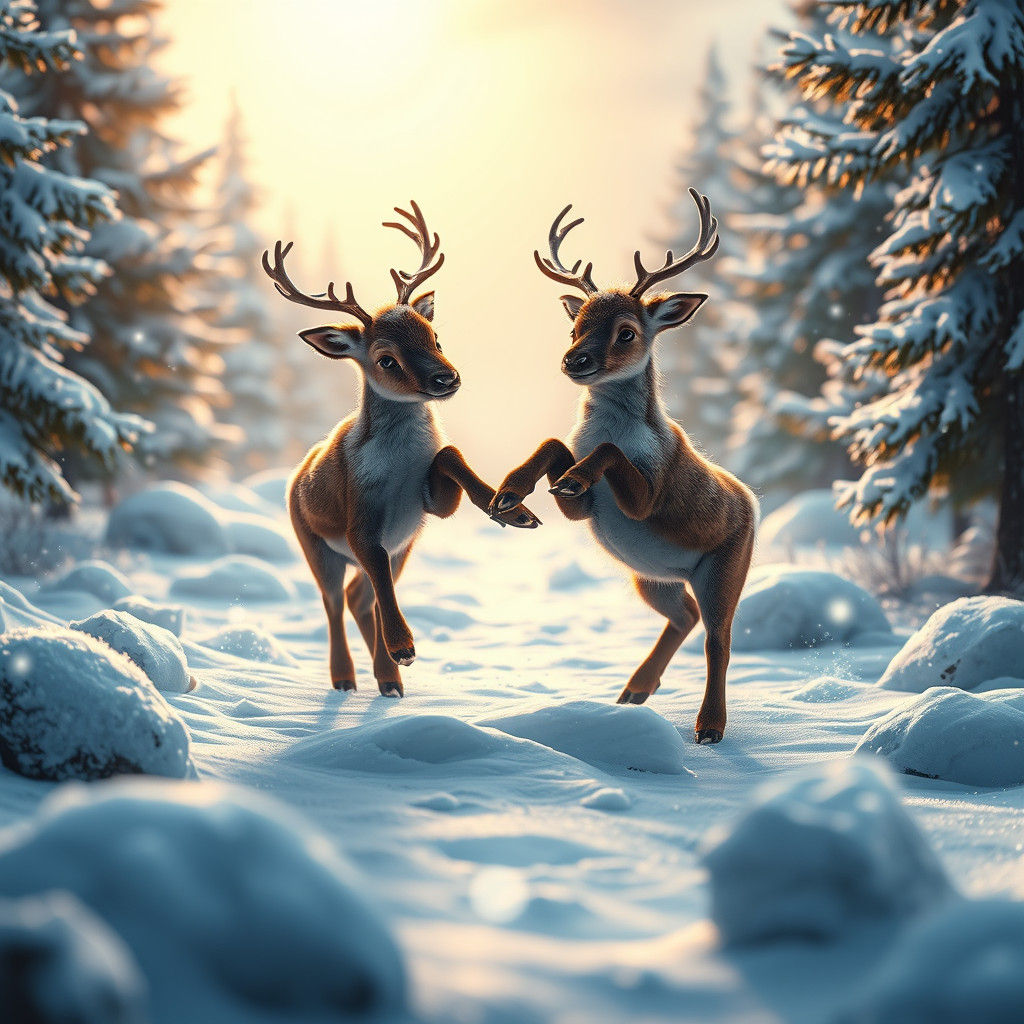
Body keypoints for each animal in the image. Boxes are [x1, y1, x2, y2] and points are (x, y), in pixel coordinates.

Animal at [262, 201, 540, 697]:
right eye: (386, 359)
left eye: (435, 337)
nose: (447, 378)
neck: (398, 471)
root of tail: (296, 474)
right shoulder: (359, 520)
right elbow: (373, 569)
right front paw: (404, 646)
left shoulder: (426, 508)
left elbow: (448, 455)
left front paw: (511, 509)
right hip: (312, 540)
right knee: (335, 599)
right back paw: (348, 678)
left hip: (403, 547)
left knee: (359, 596)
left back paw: (387, 681)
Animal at [488, 188, 757, 744]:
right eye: (575, 326)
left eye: (627, 332)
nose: (574, 360)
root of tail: (751, 501)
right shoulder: (587, 509)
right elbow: (555, 445)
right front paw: (511, 495)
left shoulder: (652, 493)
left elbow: (610, 456)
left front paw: (568, 477)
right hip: (651, 577)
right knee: (686, 616)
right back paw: (634, 691)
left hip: (725, 564)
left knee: (719, 637)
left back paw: (709, 727)